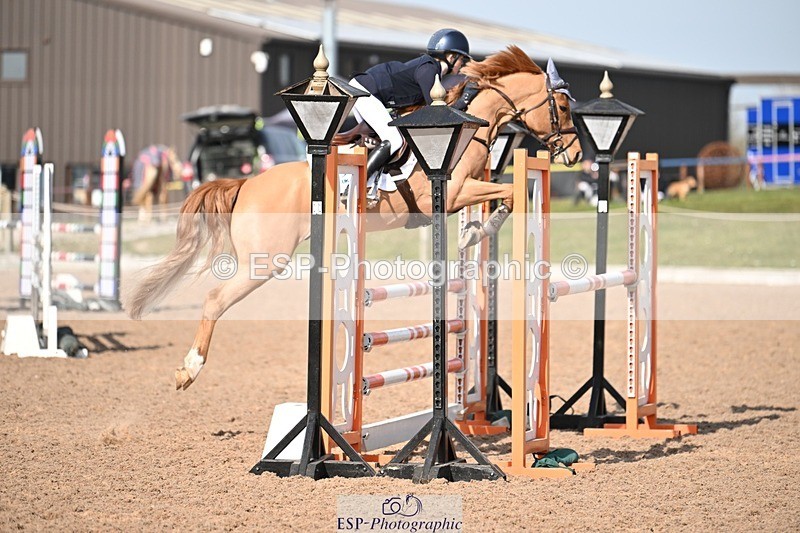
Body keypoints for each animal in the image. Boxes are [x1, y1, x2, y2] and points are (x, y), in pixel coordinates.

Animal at [125, 46, 582, 390]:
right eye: (561, 106)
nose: (576, 154)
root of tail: (248, 183)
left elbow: (501, 197)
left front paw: (472, 231)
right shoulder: (453, 192)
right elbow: (509, 194)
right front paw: (479, 228)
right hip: (266, 260)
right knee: (215, 300)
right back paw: (189, 369)